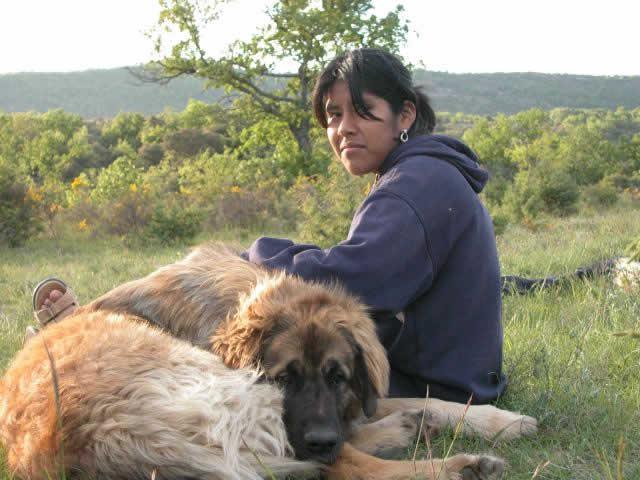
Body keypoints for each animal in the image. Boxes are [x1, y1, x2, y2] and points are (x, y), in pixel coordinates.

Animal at [0, 244, 536, 479]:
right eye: (286, 377)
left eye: (338, 377)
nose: (321, 434)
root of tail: (94, 437)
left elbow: (425, 399)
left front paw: (501, 420)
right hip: (234, 393)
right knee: (339, 464)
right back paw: (454, 462)